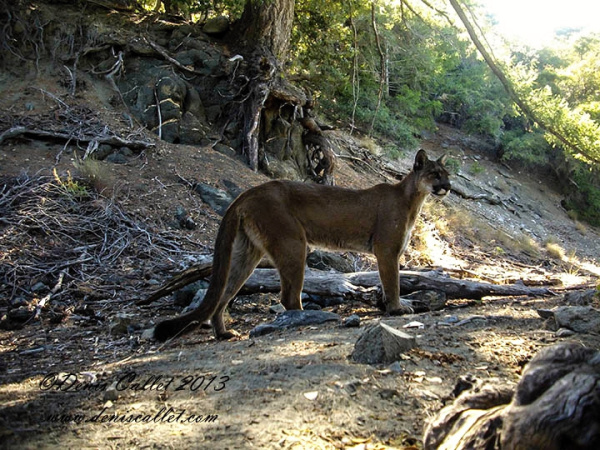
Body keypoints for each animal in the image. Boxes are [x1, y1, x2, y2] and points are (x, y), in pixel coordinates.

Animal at [155, 149, 450, 342]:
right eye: (435, 174)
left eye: (447, 175)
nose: (446, 187)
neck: (412, 198)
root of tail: (247, 192)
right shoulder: (387, 250)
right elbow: (393, 282)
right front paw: (398, 308)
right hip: (293, 243)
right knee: (287, 297)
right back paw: (308, 318)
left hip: (247, 252)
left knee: (224, 293)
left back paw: (224, 332)